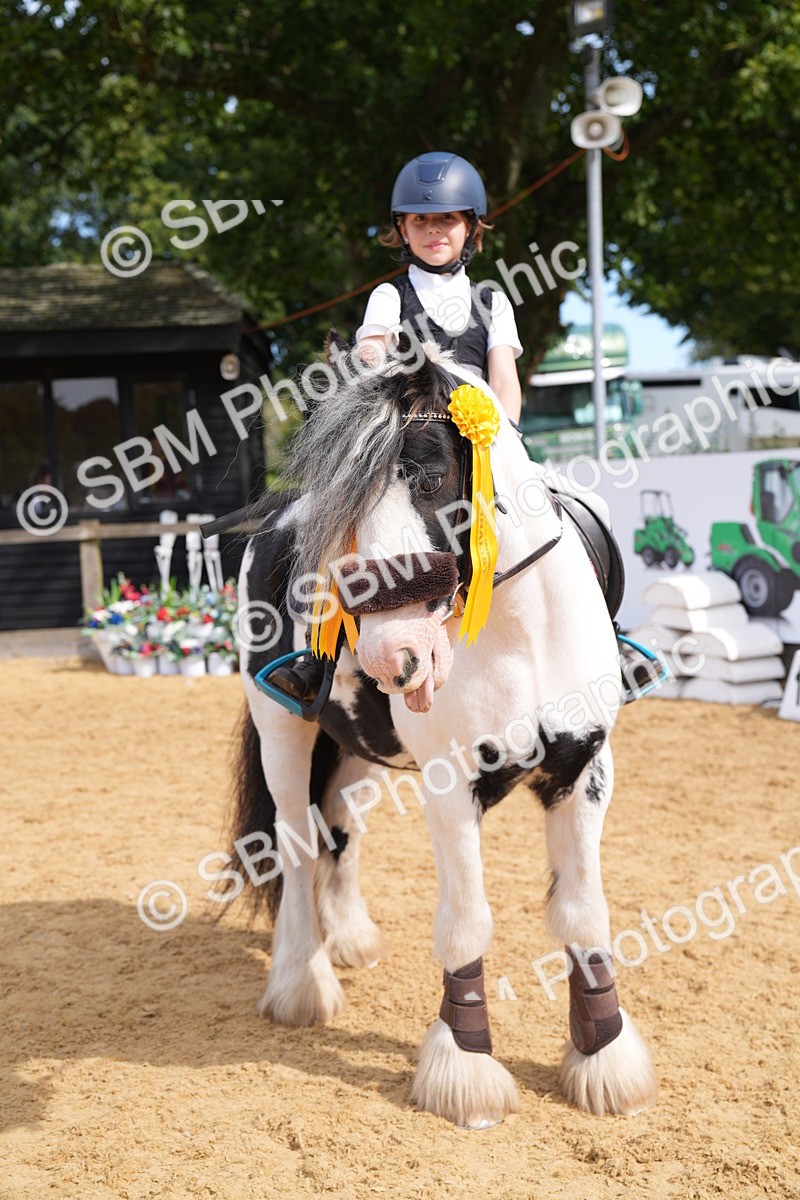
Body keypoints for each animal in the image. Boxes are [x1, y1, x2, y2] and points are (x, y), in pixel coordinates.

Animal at [226, 333, 657, 1128]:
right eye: (347, 503)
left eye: (429, 477)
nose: (391, 657)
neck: (519, 635)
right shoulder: (450, 785)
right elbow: (465, 922)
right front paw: (467, 1069)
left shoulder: (584, 769)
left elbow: (584, 913)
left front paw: (605, 1058)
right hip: (284, 733)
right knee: (297, 844)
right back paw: (302, 982)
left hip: (359, 750)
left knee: (340, 829)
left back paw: (349, 938)